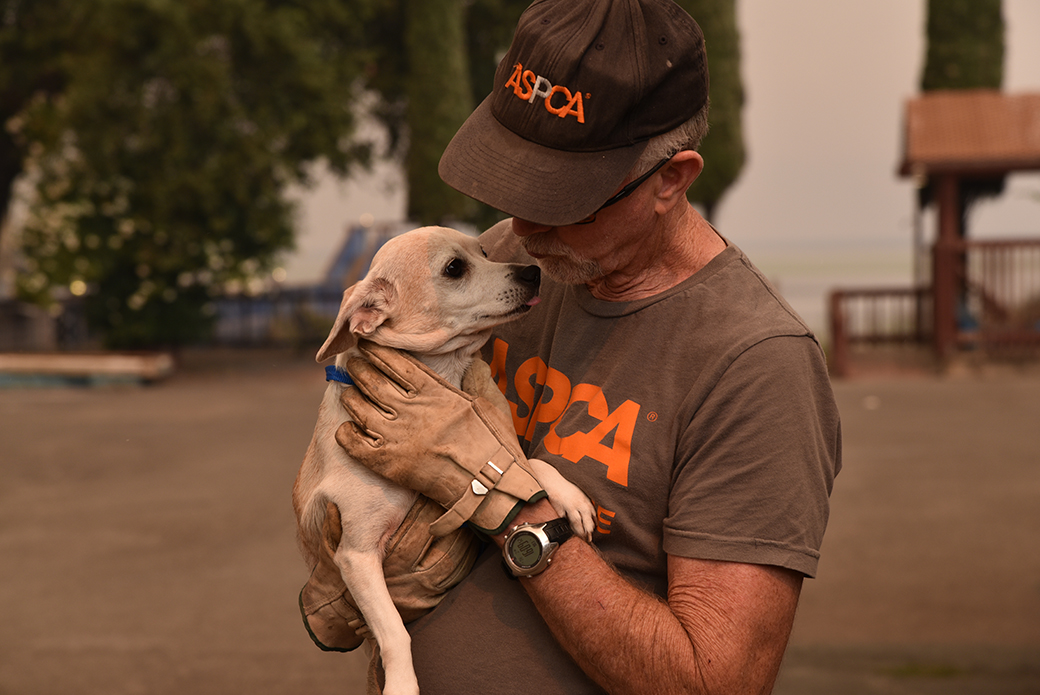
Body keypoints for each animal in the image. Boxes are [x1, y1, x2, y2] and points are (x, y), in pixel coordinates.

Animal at [293, 225, 594, 690]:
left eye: (484, 251)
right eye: (455, 268)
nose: (531, 271)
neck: (444, 373)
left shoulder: (496, 442)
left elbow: (529, 462)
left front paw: (572, 498)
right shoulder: (355, 555)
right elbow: (393, 630)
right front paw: (402, 684)